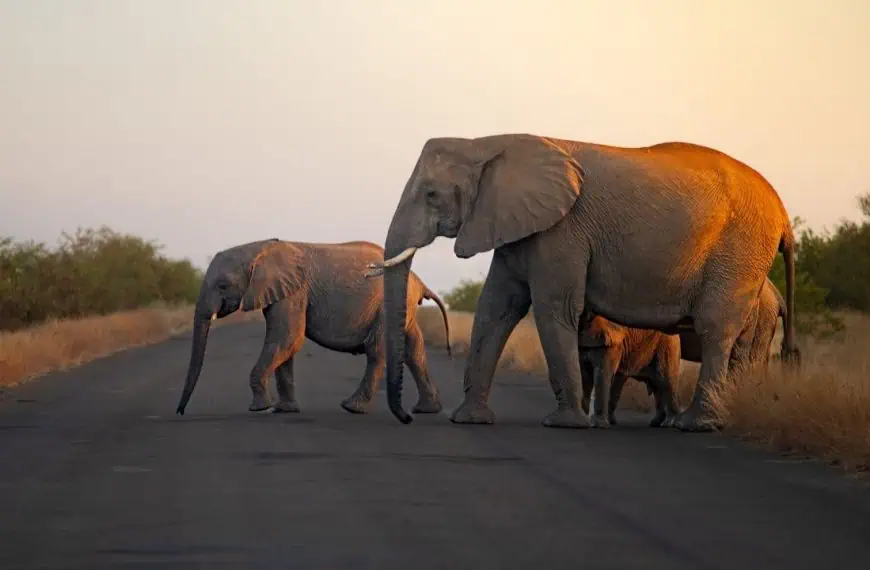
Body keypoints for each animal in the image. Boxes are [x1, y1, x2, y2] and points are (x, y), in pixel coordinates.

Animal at [175, 239, 452, 416]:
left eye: (223, 285)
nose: (180, 412)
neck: (258, 247)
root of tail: (418, 281)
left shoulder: (294, 291)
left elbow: (288, 338)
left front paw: (260, 407)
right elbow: (285, 344)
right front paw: (284, 410)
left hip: (385, 306)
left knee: (378, 351)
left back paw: (351, 408)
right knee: (414, 351)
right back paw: (426, 410)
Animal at [367, 133, 800, 432]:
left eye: (431, 194)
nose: (406, 418)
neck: (488, 142)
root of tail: (783, 213)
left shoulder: (561, 231)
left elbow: (552, 308)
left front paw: (564, 424)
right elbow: (496, 308)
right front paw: (469, 420)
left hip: (739, 252)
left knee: (715, 329)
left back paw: (695, 426)